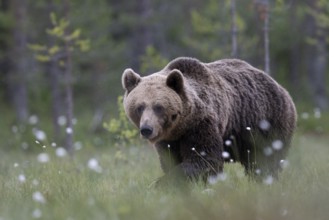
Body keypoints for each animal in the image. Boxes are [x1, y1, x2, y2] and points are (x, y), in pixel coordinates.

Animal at [121, 57, 296, 186]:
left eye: (158, 107)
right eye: (139, 107)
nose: (147, 129)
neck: (180, 127)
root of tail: (281, 88)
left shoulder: (201, 124)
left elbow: (204, 159)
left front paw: (161, 184)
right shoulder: (169, 140)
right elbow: (170, 160)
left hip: (267, 122)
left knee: (265, 159)